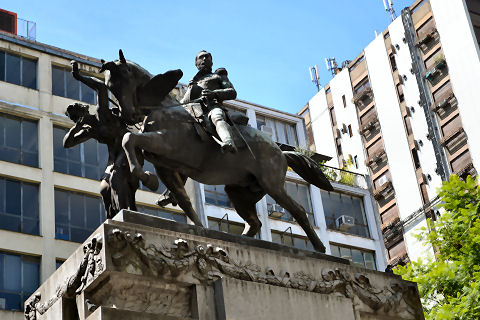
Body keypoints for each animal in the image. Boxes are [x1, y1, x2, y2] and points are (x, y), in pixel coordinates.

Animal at [101, 50, 334, 252]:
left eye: (123, 79)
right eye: (109, 85)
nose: (127, 115)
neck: (164, 110)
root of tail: (279, 151)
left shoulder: (166, 143)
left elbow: (129, 138)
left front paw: (145, 177)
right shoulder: (165, 166)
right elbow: (183, 199)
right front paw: (197, 227)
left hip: (272, 184)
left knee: (298, 211)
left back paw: (320, 248)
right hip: (240, 191)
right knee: (254, 223)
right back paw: (240, 240)